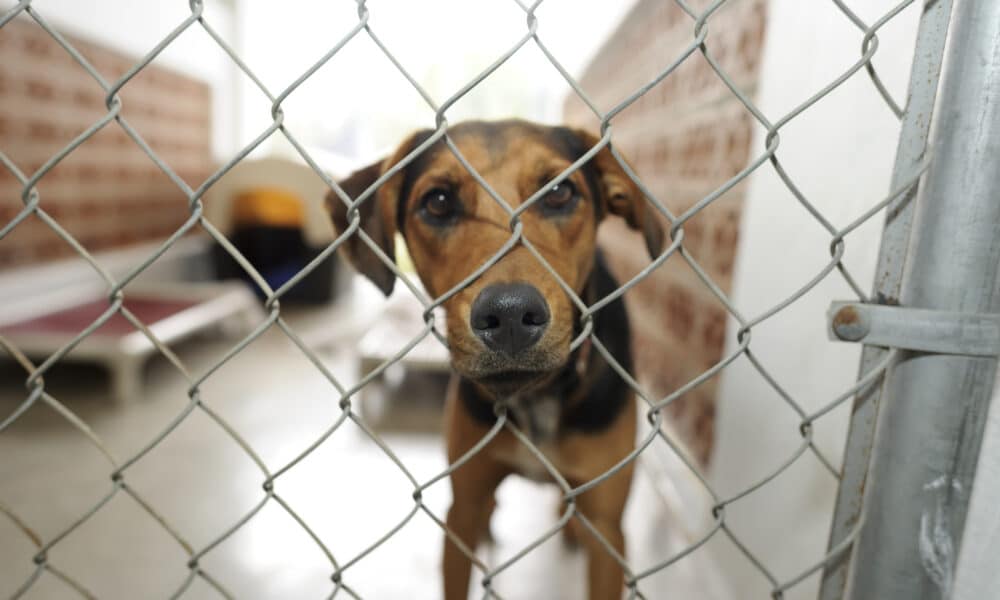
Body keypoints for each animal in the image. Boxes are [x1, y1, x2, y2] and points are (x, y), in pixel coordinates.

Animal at [328, 119, 664, 596]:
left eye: (560, 192)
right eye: (438, 202)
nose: (508, 315)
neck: (536, 396)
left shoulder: (607, 526)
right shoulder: (462, 509)